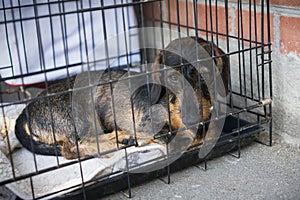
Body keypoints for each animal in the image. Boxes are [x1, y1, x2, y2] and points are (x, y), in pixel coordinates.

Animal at [14, 36, 230, 159]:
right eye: (173, 79)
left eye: (205, 73)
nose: (192, 117)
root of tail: (25, 112)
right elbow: (182, 137)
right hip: (81, 116)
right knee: (74, 147)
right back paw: (119, 139)